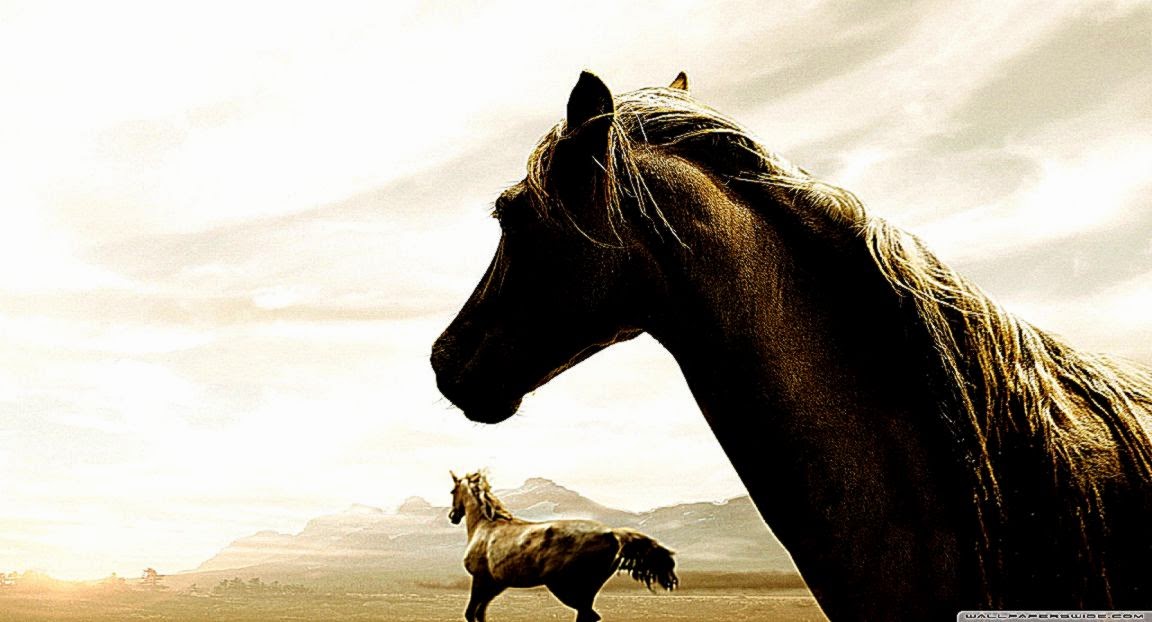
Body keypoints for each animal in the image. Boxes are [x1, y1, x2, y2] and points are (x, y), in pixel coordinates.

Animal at [447, 471, 677, 622]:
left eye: (452, 491)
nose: (453, 516)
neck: (485, 526)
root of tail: (613, 534)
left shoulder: (480, 579)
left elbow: (471, 613)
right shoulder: (496, 583)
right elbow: (480, 614)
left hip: (564, 587)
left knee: (588, 615)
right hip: (586, 590)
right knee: (587, 615)